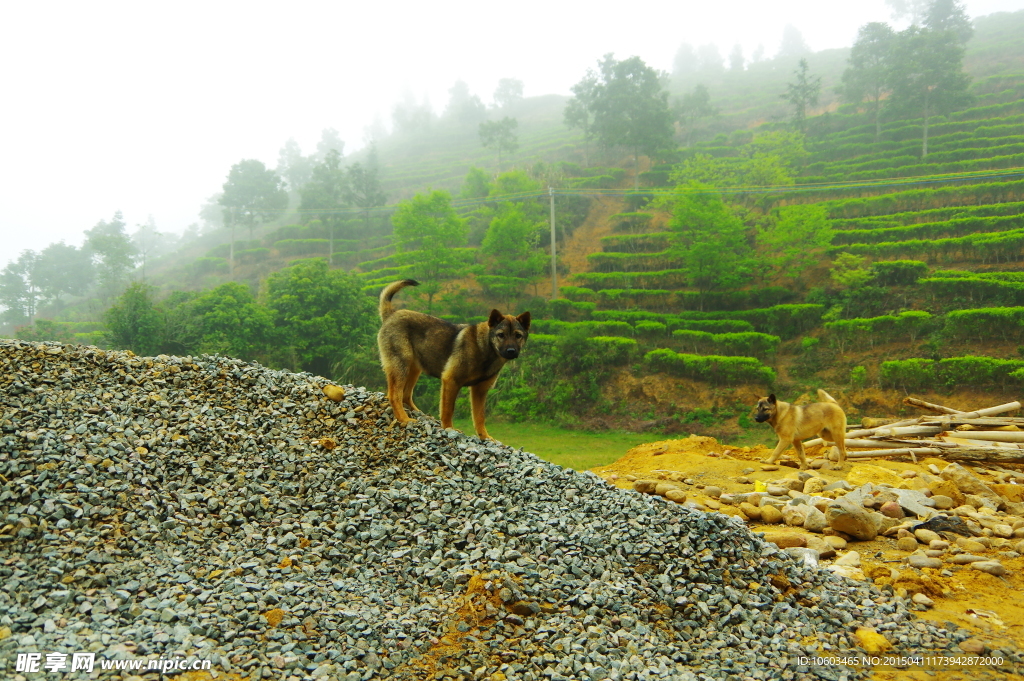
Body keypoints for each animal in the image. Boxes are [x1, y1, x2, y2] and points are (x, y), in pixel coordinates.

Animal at [378, 278, 536, 438]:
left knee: (405, 395)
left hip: (414, 369)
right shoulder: (451, 381)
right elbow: (448, 411)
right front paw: (449, 429)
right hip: (401, 366)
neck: (485, 348)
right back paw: (404, 419)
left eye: (518, 335)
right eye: (501, 335)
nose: (511, 351)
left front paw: (485, 437)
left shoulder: (480, 390)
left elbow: (479, 417)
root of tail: (391, 314)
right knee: (394, 395)